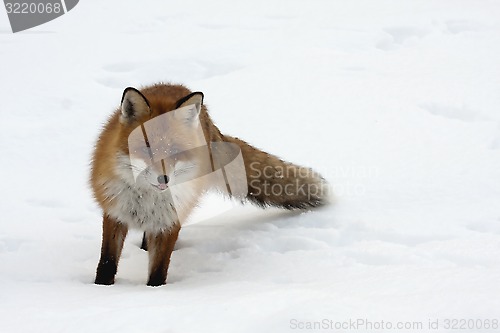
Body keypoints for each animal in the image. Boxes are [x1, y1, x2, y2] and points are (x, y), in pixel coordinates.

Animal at [91, 83, 328, 286]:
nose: (163, 179)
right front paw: (101, 289)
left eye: (175, 150)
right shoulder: (115, 213)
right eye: (146, 148)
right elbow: (107, 262)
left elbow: (158, 270)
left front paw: (154, 292)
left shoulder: (170, 222)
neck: (146, 198)